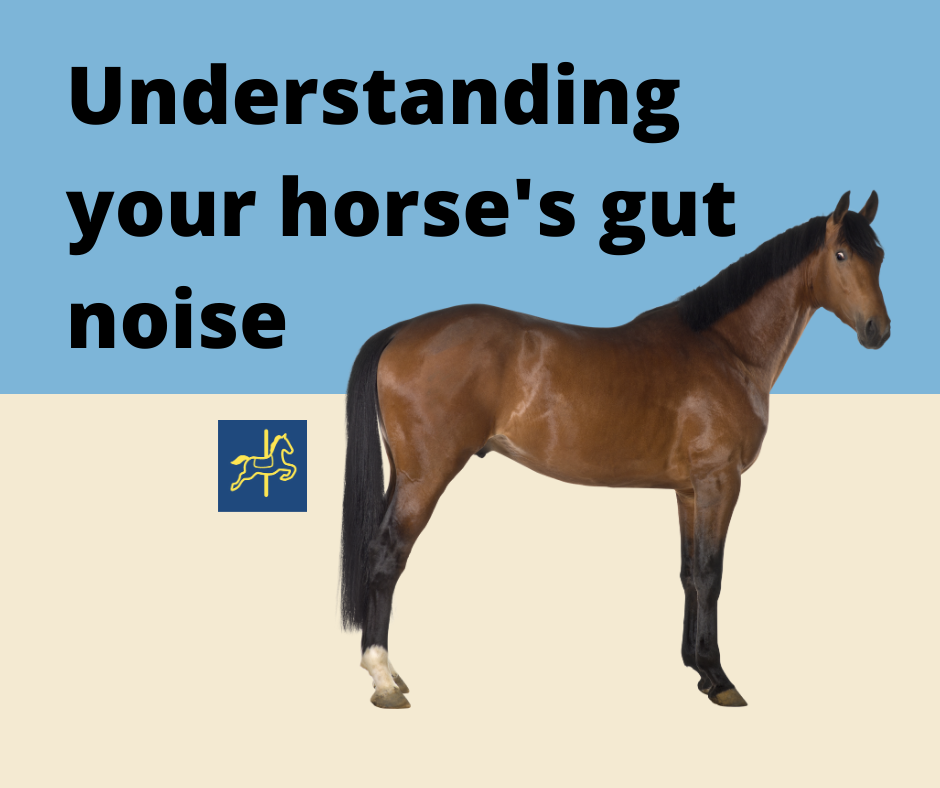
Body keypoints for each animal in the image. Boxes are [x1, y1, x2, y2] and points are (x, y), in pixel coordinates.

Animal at [340, 191, 889, 709]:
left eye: (879, 255)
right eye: (841, 254)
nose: (878, 331)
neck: (726, 349)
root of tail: (401, 331)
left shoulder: (689, 491)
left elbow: (689, 573)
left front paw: (696, 669)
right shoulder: (720, 482)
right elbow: (711, 574)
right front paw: (719, 678)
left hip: (404, 474)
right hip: (426, 477)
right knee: (388, 555)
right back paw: (383, 679)